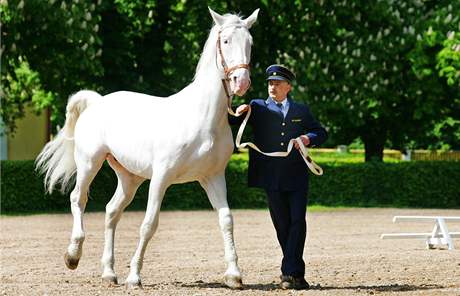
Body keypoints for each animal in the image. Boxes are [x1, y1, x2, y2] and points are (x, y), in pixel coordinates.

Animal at [36, 8, 258, 290]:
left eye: (250, 43)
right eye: (226, 40)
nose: (241, 81)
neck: (203, 118)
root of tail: (96, 102)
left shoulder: (213, 177)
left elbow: (226, 220)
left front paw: (234, 275)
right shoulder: (161, 177)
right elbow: (149, 224)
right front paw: (134, 276)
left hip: (130, 178)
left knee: (111, 212)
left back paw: (109, 273)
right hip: (89, 163)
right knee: (78, 199)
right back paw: (73, 255)